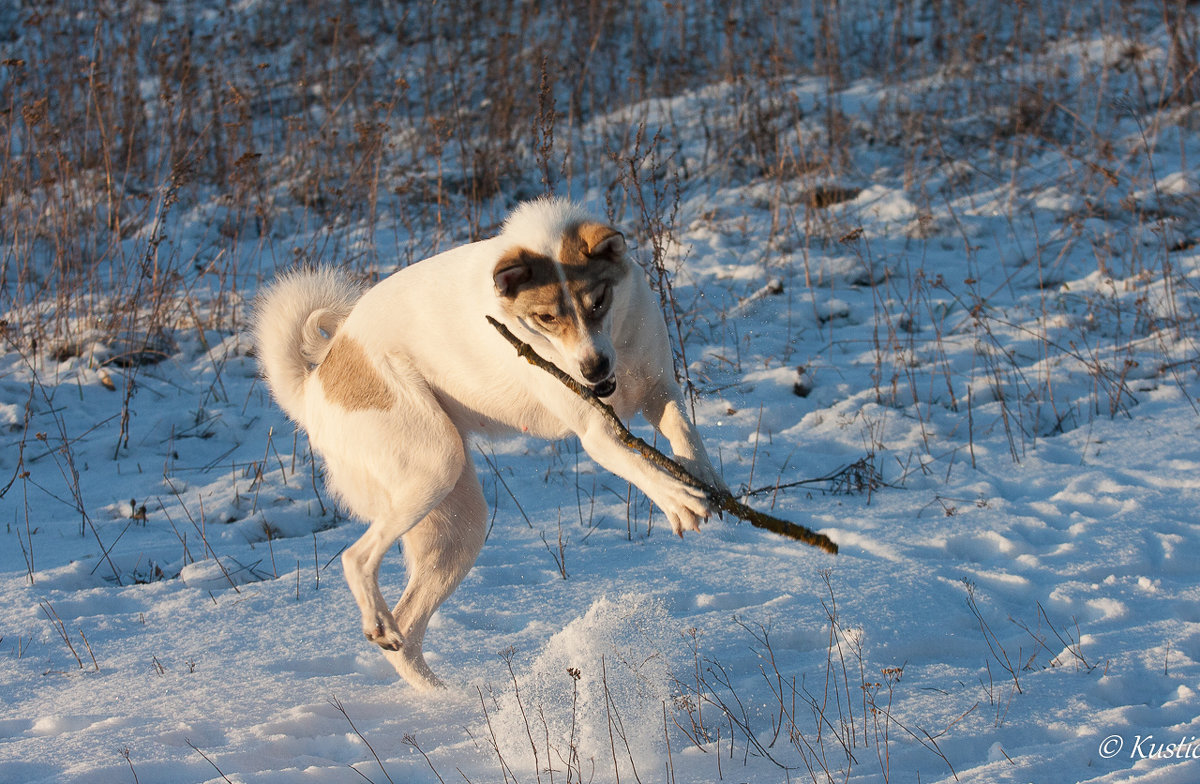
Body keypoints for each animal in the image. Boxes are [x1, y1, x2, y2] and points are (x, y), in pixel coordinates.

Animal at [253, 199, 720, 686]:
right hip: (436, 463)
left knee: (408, 636)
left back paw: (445, 697)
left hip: (460, 527)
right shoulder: (598, 435)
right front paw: (680, 501)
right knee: (356, 558)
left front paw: (704, 479)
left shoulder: (660, 393)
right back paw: (382, 626)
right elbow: (643, 469)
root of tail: (314, 385)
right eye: (546, 318)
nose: (593, 371)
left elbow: (686, 437)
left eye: (598, 302)